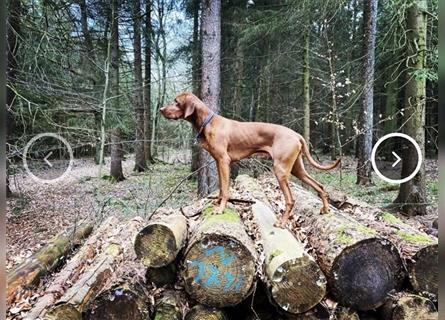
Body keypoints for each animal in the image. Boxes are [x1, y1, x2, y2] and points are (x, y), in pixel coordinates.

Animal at [161, 92, 338, 228]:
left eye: (176, 101)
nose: (161, 109)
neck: (208, 122)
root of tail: (296, 135)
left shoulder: (224, 161)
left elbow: (226, 189)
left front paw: (221, 209)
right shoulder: (219, 162)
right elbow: (221, 187)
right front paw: (217, 203)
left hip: (280, 170)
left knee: (291, 199)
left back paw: (281, 222)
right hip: (297, 169)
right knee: (320, 186)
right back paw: (325, 209)